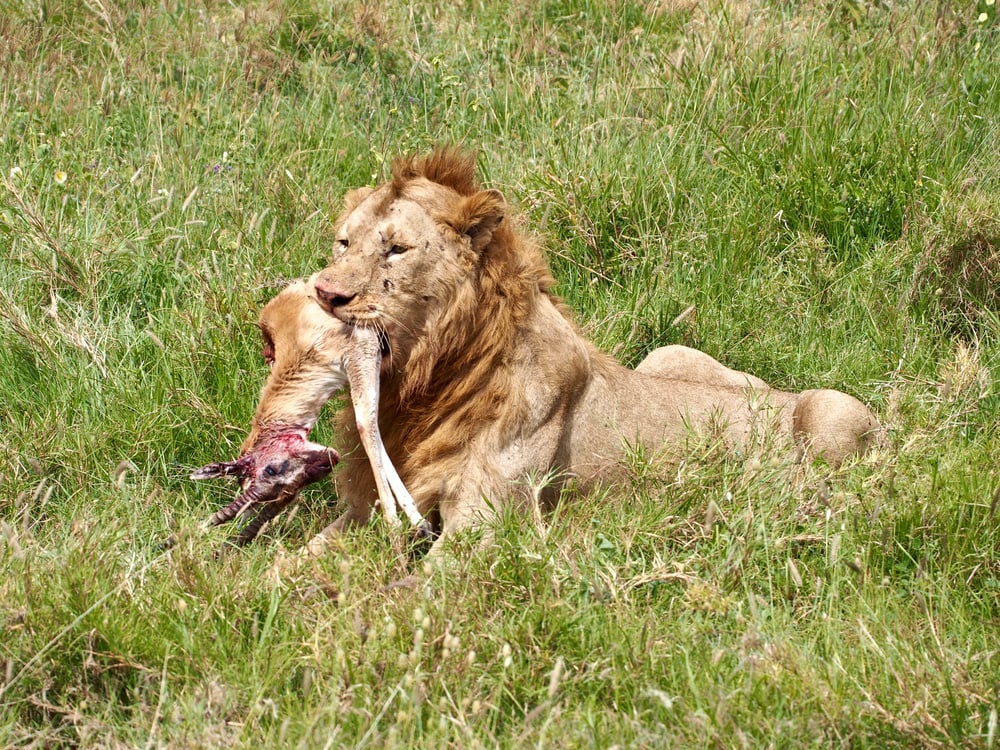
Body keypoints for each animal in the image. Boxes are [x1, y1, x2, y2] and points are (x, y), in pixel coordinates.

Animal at [304, 148, 880, 557]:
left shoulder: (483, 531)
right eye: (343, 242)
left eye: (396, 249)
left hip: (831, 410)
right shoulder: (368, 511)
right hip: (667, 353)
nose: (325, 293)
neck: (427, 385)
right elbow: (301, 560)